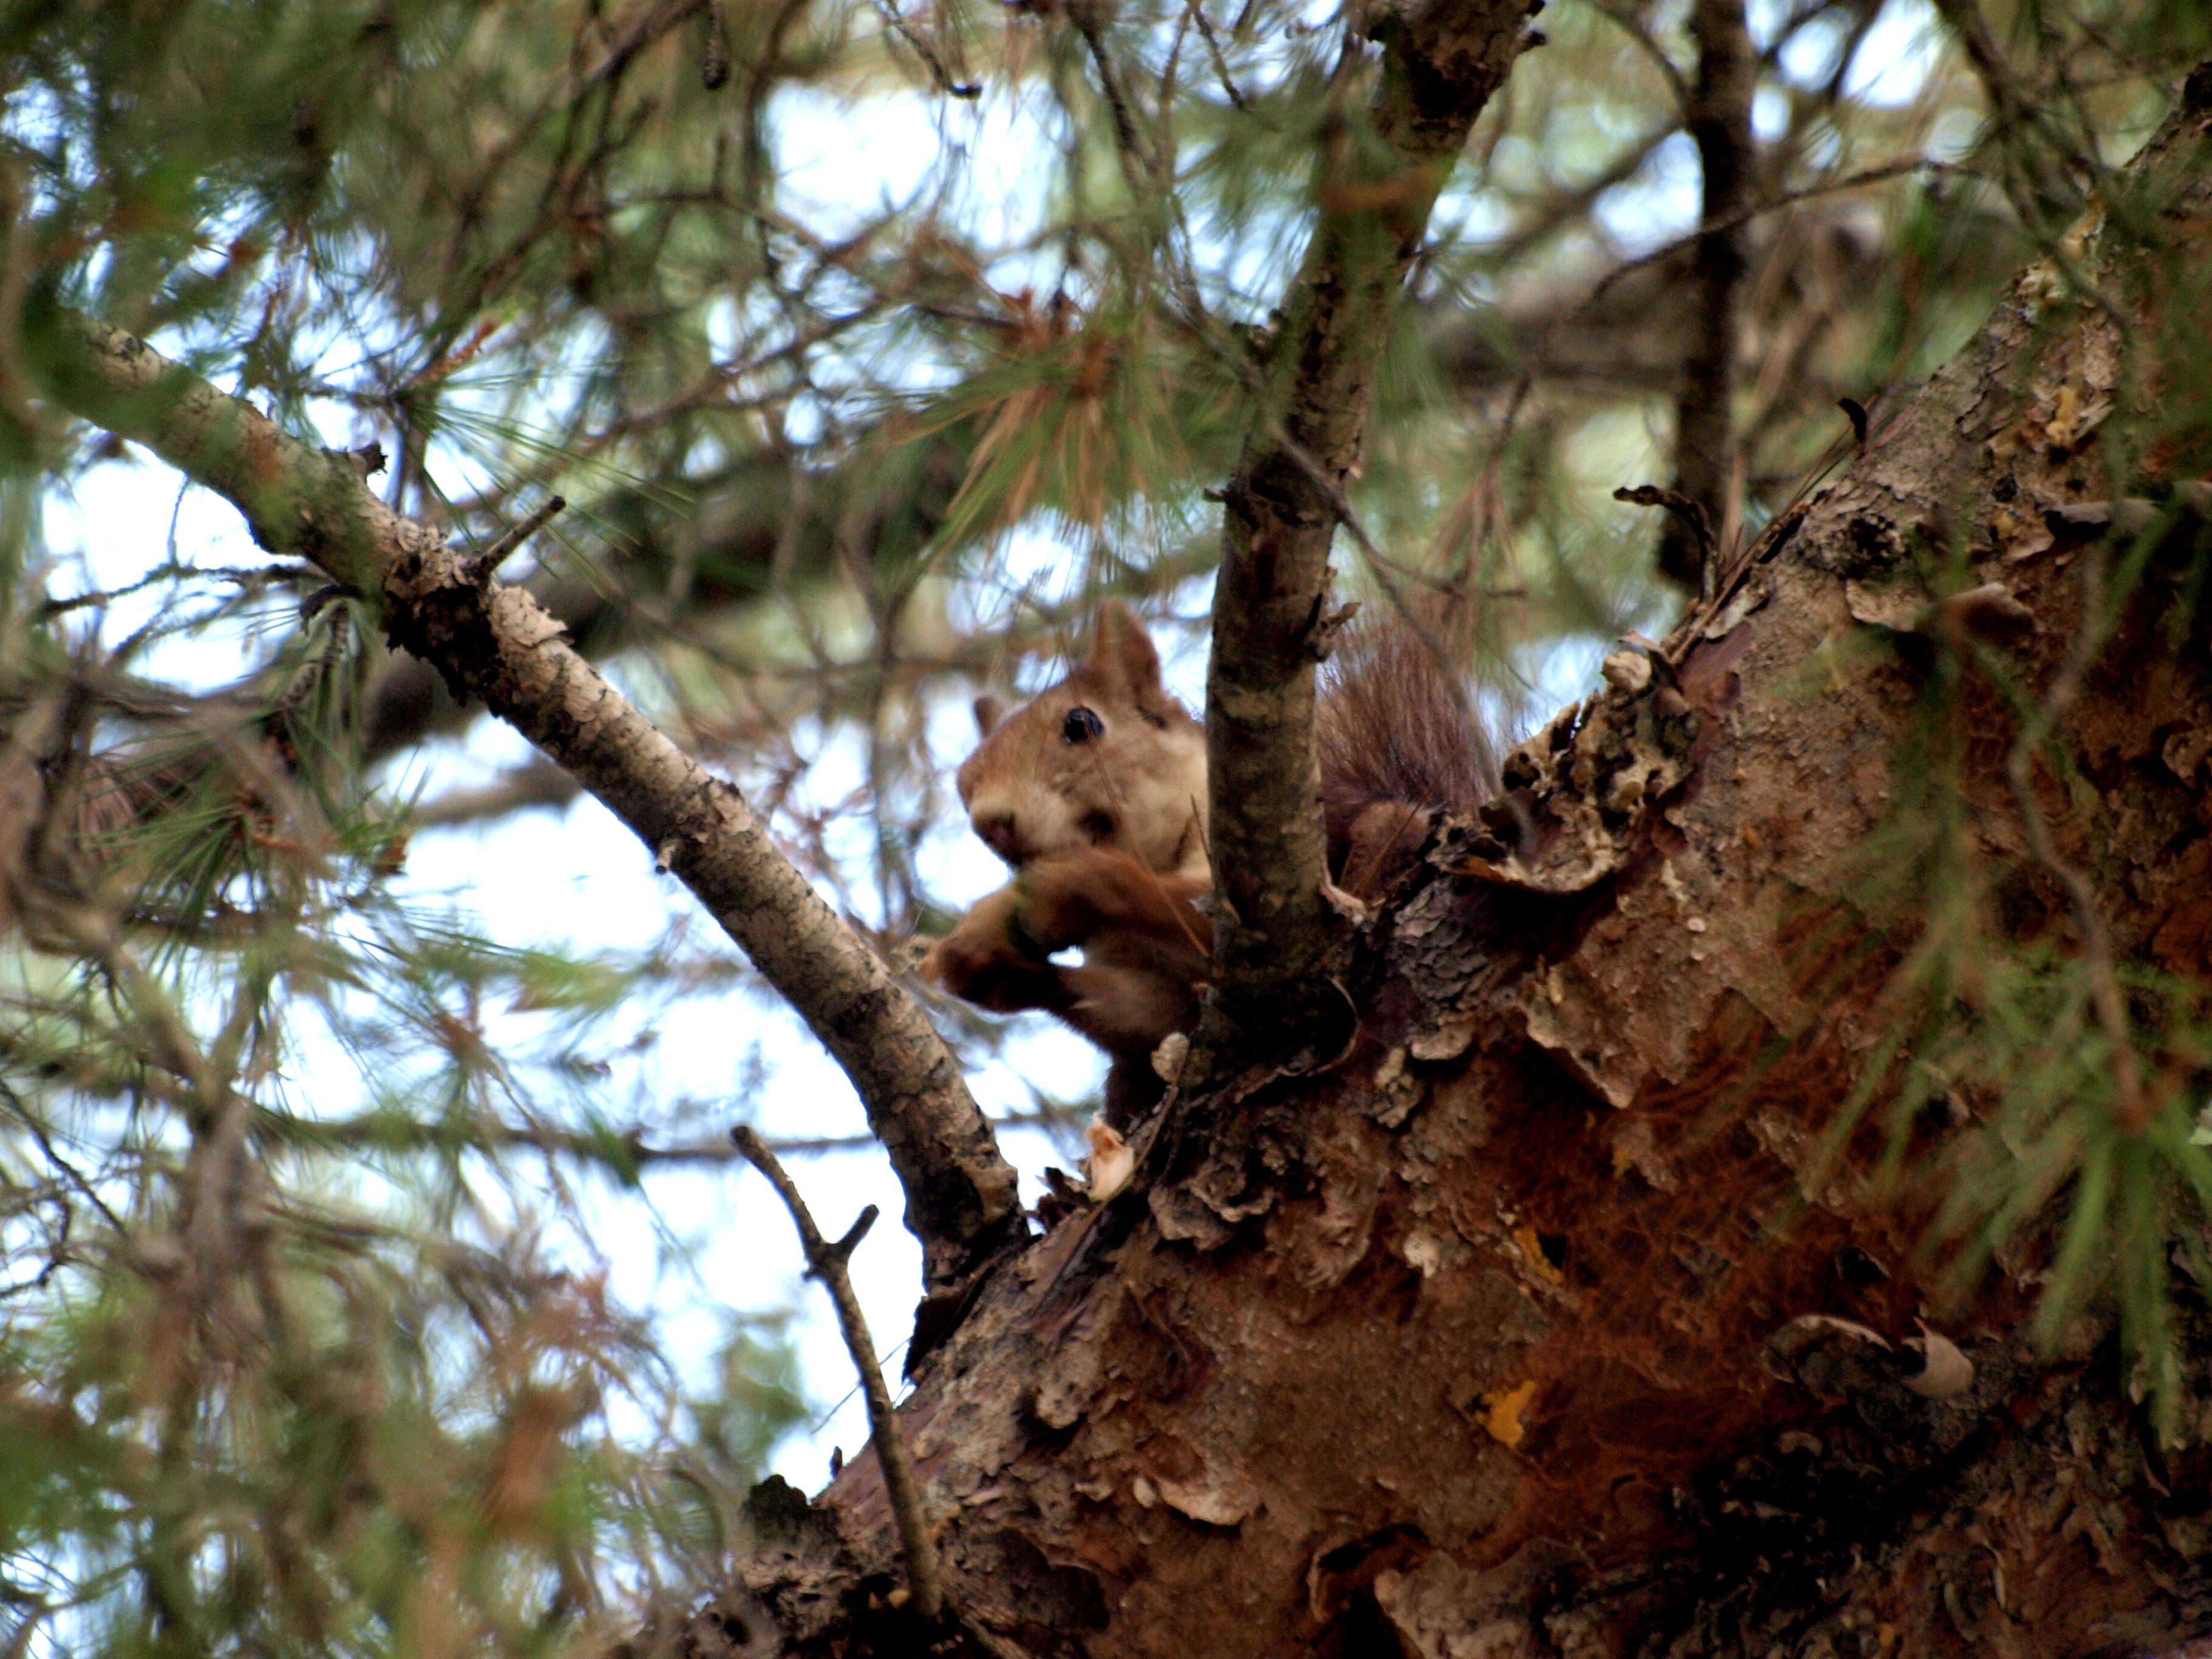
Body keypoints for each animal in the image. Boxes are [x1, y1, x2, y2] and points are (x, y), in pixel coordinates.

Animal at [916, 606, 1504, 1124]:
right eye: (963, 784)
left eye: (1081, 724)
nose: (990, 824)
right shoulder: (1154, 992)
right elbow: (1144, 1018)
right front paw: (977, 963)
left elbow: (1170, 905)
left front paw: (1061, 887)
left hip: (1386, 841)